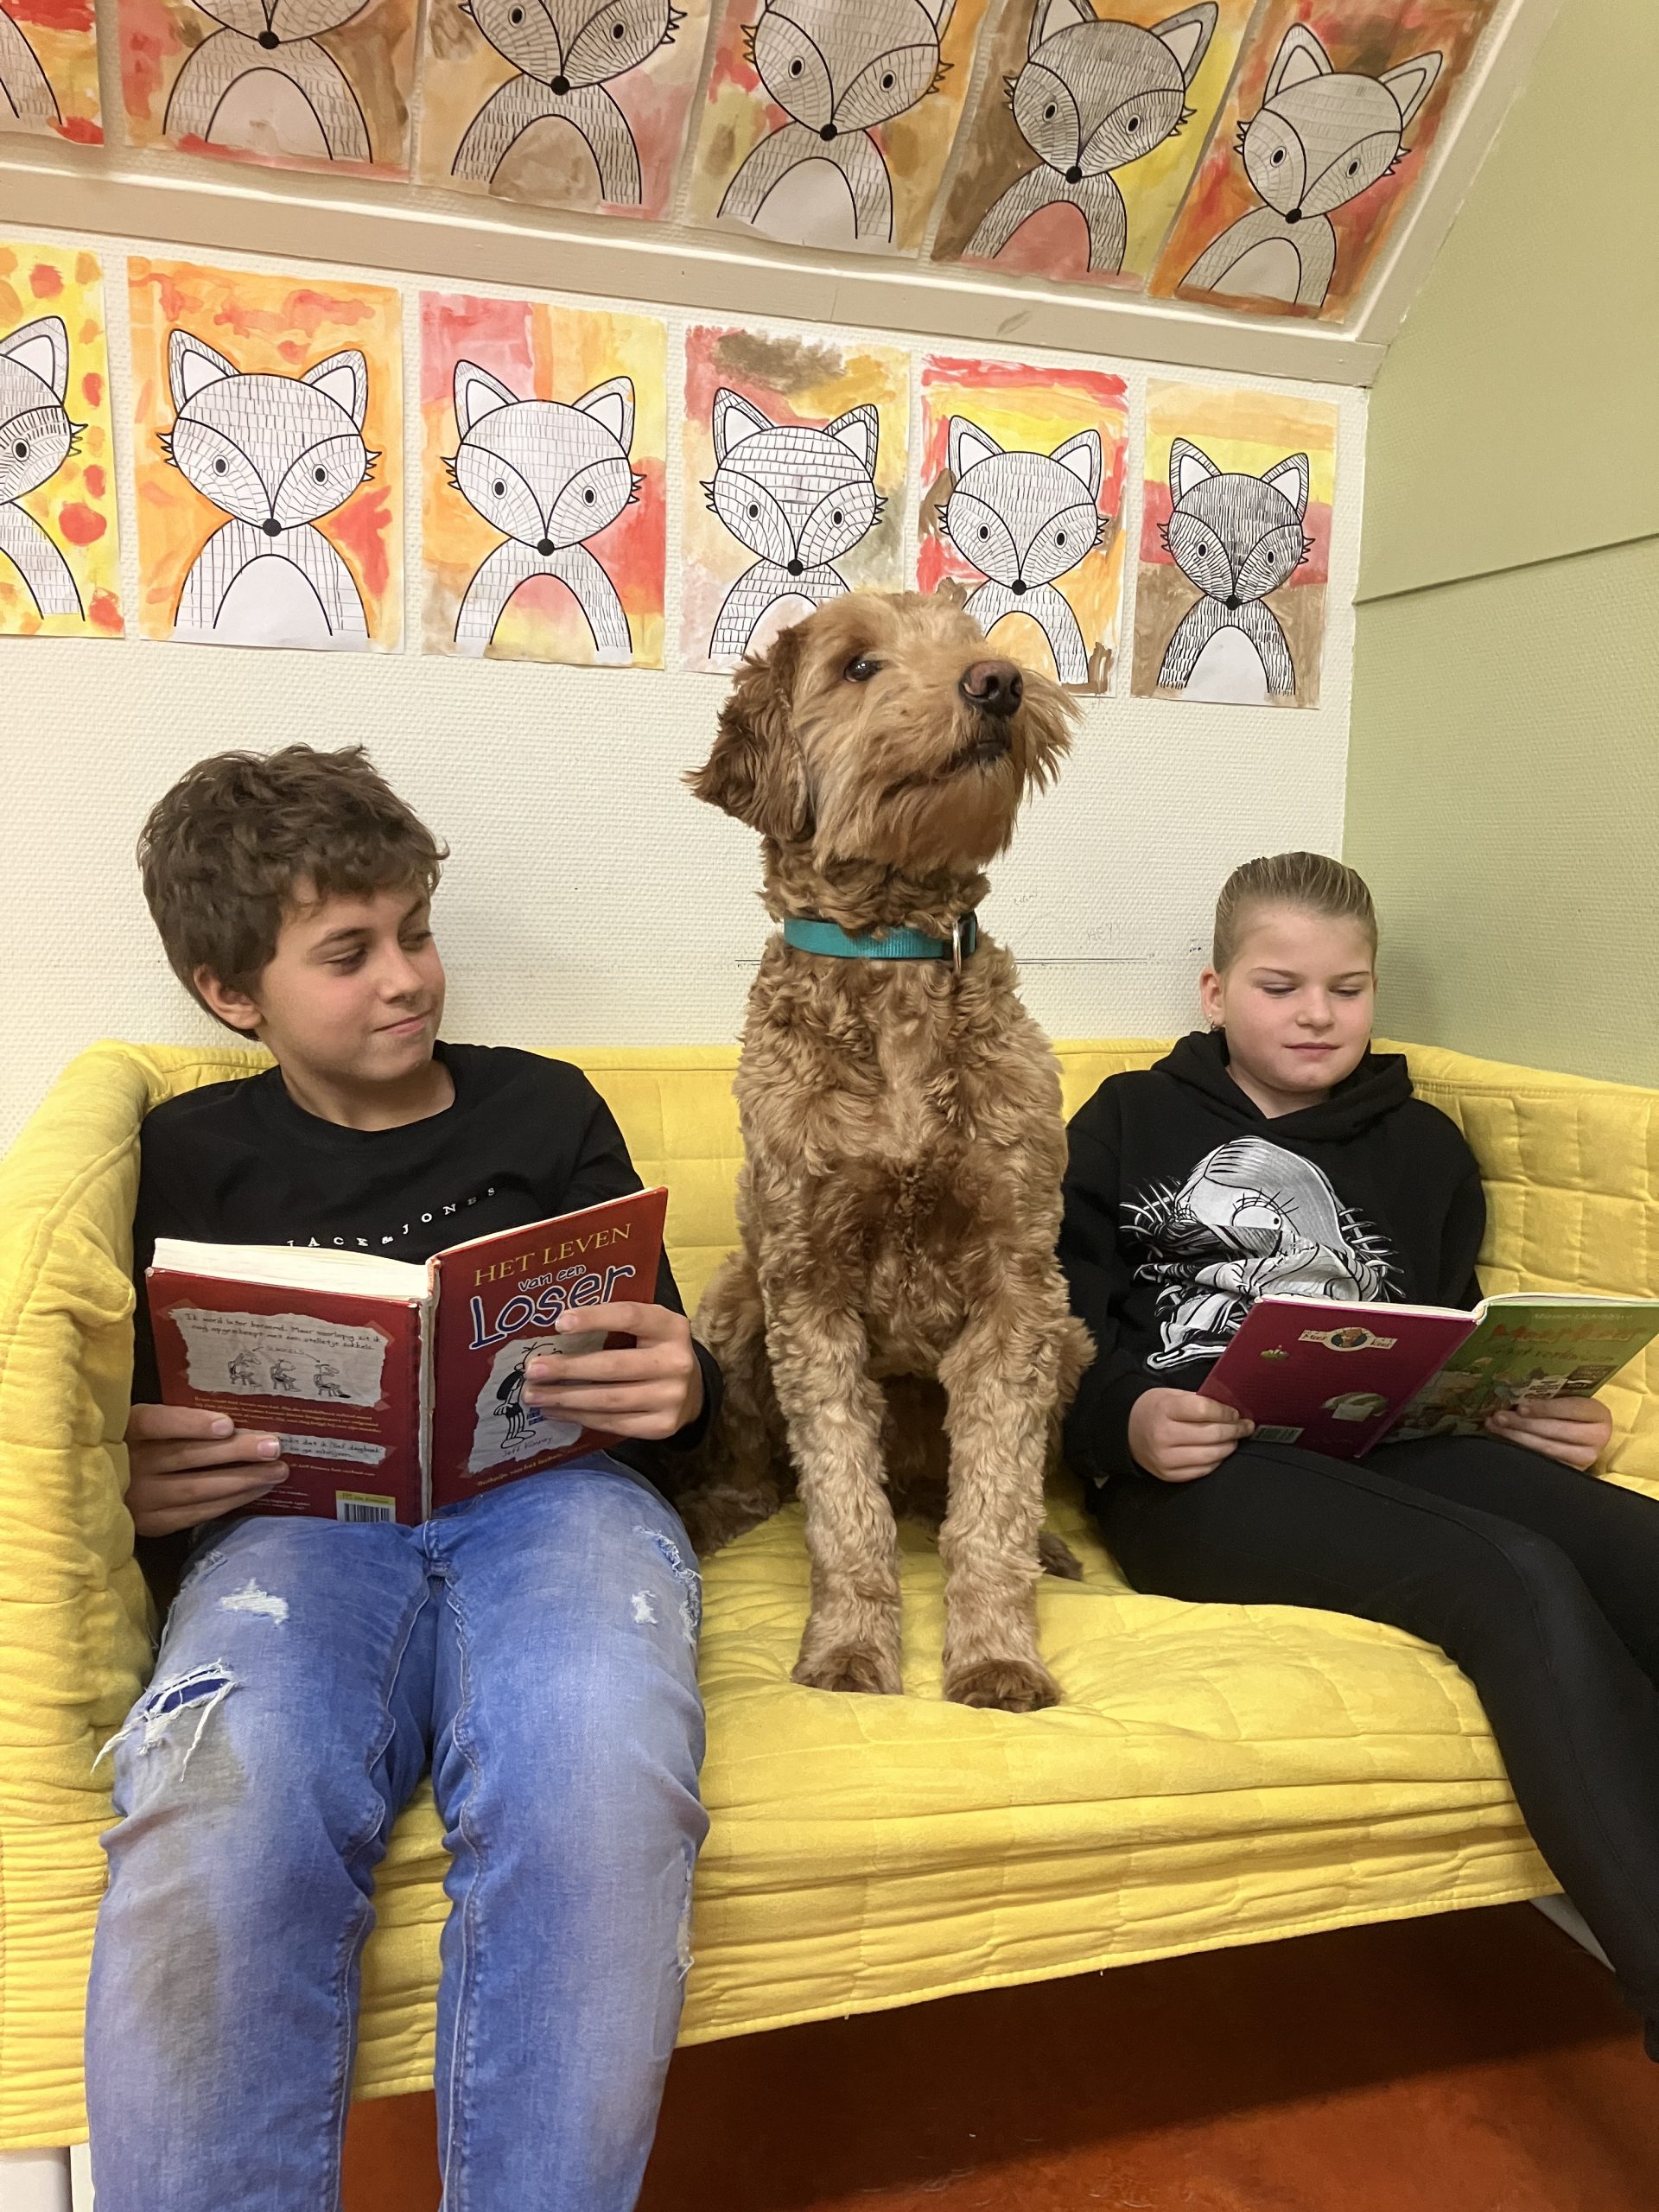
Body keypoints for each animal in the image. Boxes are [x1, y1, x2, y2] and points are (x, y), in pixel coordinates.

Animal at [681, 588, 1096, 1707]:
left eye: (974, 636)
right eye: (858, 665)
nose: (999, 682)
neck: (897, 952)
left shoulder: (1017, 1288)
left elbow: (992, 1509)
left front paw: (999, 1657)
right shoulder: (807, 1283)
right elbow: (841, 1507)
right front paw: (848, 1650)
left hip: (1072, 1336)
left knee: (978, 1491)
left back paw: (1052, 1550)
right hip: (733, 1306)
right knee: (761, 1472)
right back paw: (715, 1515)